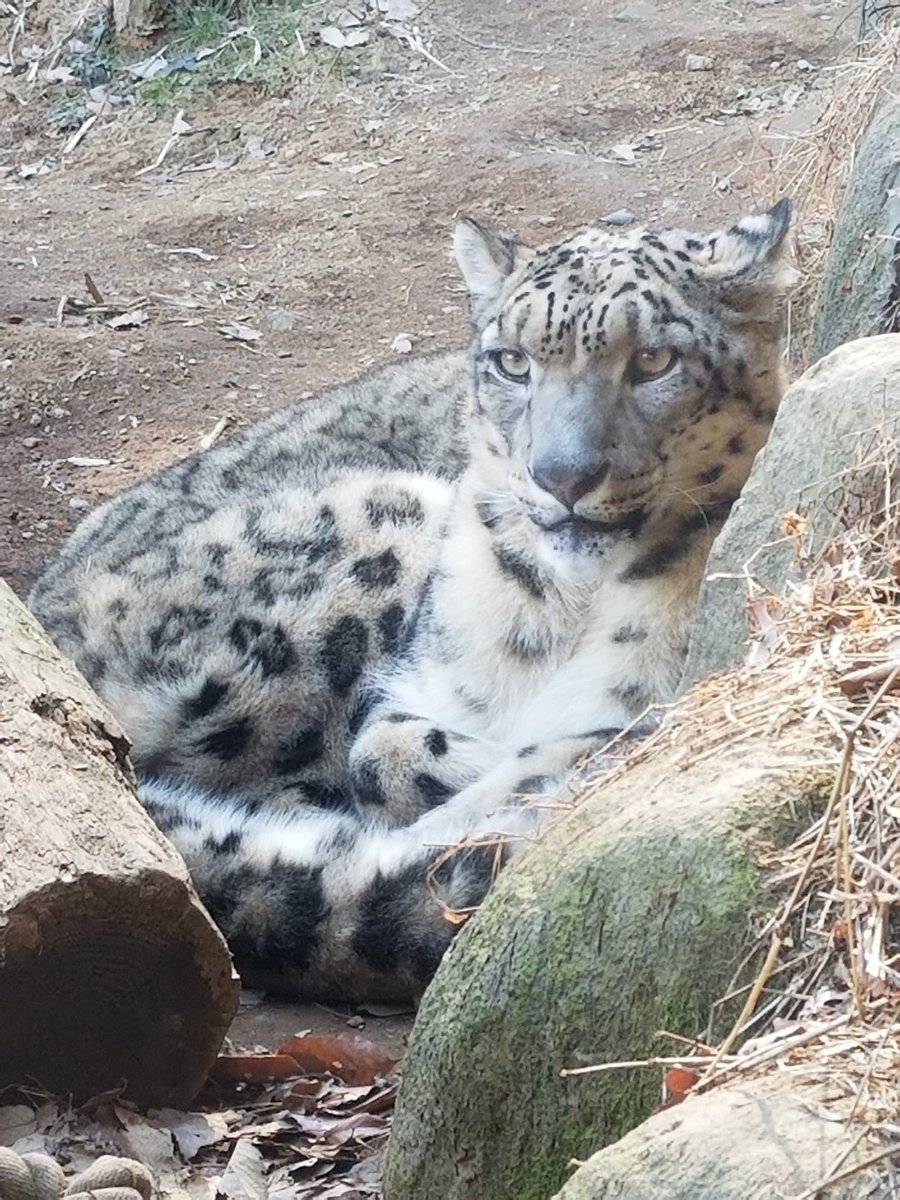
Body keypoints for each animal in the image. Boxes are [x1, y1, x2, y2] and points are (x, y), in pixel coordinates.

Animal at [30, 199, 796, 1003]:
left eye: (654, 361)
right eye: (512, 362)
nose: (561, 475)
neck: (568, 610)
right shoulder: (427, 683)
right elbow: (381, 747)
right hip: (381, 521)